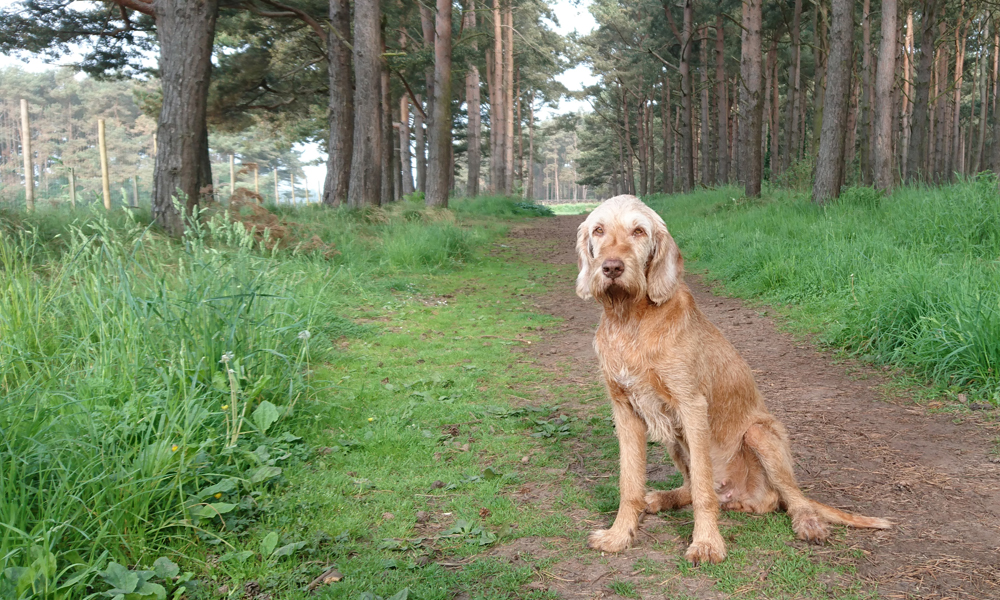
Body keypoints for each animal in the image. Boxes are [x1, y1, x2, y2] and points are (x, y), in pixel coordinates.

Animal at [576, 195, 890, 565]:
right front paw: (619, 535)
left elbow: (702, 489)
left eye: (639, 231)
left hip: (759, 434)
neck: (630, 320)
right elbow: (630, 484)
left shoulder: (691, 406)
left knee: (788, 497)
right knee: (698, 487)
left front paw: (707, 543)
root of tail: (740, 494)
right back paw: (664, 498)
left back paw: (808, 522)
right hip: (673, 442)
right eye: (599, 230)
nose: (611, 268)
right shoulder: (625, 410)